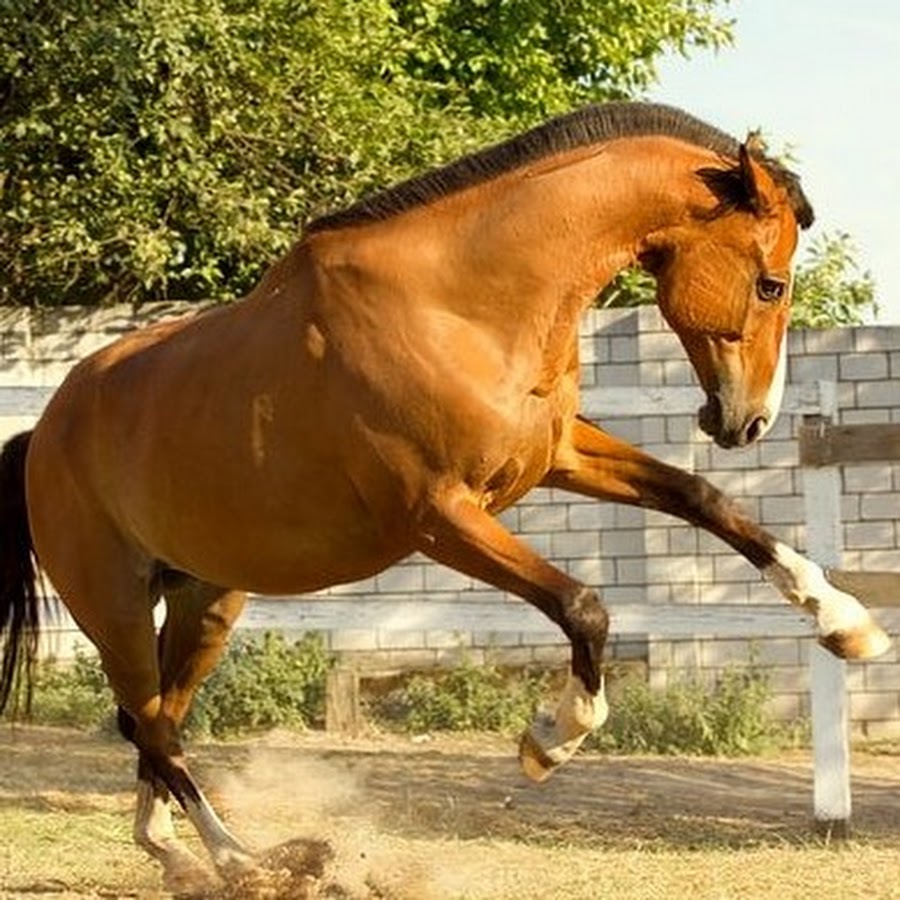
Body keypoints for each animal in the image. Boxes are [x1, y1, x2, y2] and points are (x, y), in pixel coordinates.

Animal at [0, 102, 888, 888]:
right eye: (770, 284)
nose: (747, 420)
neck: (459, 303)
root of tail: (44, 431)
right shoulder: (438, 517)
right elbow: (583, 606)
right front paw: (550, 740)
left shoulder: (558, 456)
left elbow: (705, 499)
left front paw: (847, 624)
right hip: (114, 603)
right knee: (153, 726)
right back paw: (248, 863)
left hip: (206, 601)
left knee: (154, 722)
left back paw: (178, 856)